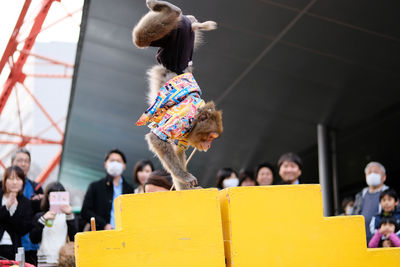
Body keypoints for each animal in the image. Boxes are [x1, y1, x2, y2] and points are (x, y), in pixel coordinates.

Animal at [133, 0, 223, 191]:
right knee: (140, 39)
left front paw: (185, 186)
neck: (195, 118)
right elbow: (156, 139)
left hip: (180, 38)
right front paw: (185, 176)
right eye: (211, 137)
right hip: (172, 48)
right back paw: (169, 9)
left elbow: (178, 150)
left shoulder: (184, 134)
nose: (208, 145)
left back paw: (189, 18)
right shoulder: (181, 119)